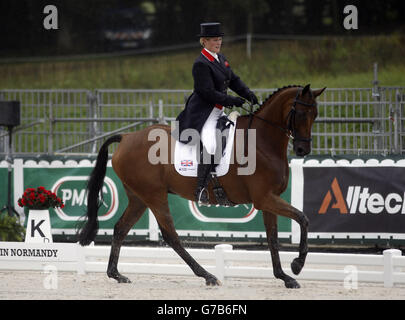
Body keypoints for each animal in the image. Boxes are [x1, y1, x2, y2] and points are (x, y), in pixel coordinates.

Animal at [78, 84, 326, 288]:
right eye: (300, 113)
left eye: (315, 114)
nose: (303, 150)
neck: (263, 142)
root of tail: (127, 137)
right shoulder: (264, 198)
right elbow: (303, 218)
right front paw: (297, 265)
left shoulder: (268, 200)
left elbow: (273, 238)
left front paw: (284, 276)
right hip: (154, 195)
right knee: (171, 236)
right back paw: (207, 275)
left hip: (139, 197)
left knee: (121, 228)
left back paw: (116, 274)